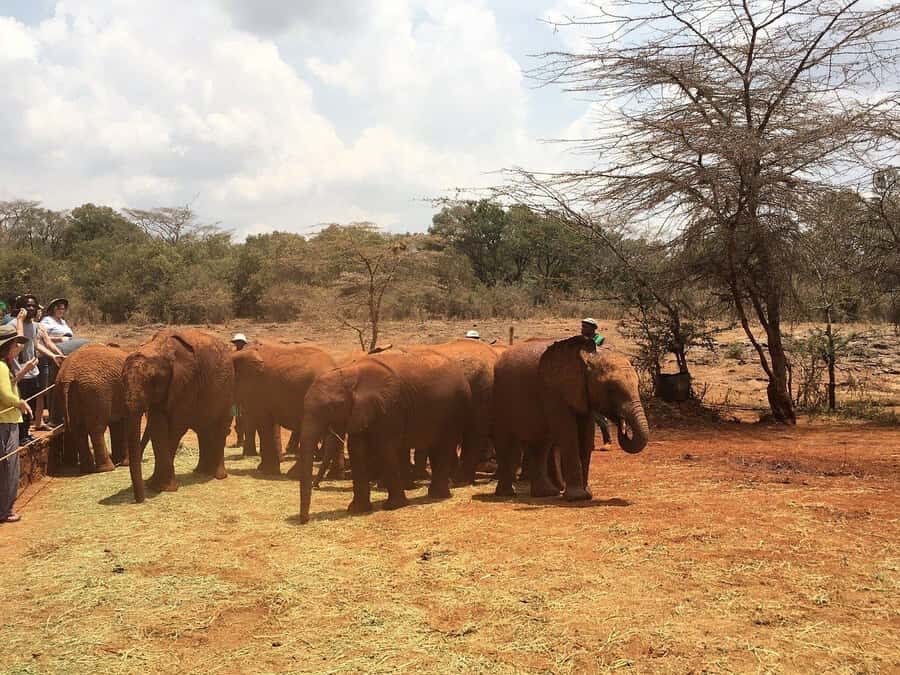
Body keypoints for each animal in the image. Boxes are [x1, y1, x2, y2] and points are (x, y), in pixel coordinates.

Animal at [124, 329, 233, 502]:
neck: (159, 348)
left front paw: (162, 488)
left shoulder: (186, 384)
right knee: (204, 431)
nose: (140, 500)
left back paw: (217, 476)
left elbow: (174, 429)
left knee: (219, 429)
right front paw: (154, 486)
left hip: (227, 391)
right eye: (122, 380)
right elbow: (157, 427)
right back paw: (201, 472)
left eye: (151, 380)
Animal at [232, 342, 341, 476]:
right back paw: (334, 475)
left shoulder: (257, 388)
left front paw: (267, 471)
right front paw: (264, 469)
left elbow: (263, 422)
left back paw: (294, 474)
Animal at [296, 350, 472, 523]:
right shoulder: (362, 411)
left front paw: (393, 506)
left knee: (445, 445)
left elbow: (385, 448)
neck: (350, 373)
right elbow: (356, 450)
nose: (305, 520)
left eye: (333, 406)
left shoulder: (390, 407)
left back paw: (437, 495)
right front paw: (357, 510)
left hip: (456, 407)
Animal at [492, 335, 650, 501]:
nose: (622, 425)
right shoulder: (554, 389)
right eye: (611, 389)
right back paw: (506, 494)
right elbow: (568, 432)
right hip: (500, 395)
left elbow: (586, 433)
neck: (587, 358)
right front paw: (577, 497)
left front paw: (587, 494)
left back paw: (546, 493)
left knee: (541, 443)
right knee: (508, 442)